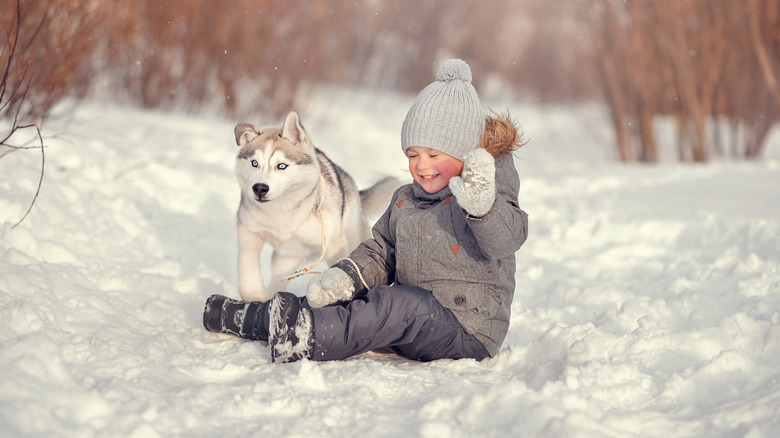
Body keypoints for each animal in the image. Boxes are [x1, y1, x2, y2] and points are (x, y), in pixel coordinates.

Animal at [233, 110, 396, 302]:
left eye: (282, 166)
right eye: (254, 163)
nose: (259, 188)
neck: (281, 211)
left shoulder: (333, 243)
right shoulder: (248, 229)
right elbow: (246, 263)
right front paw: (253, 294)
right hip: (286, 257)